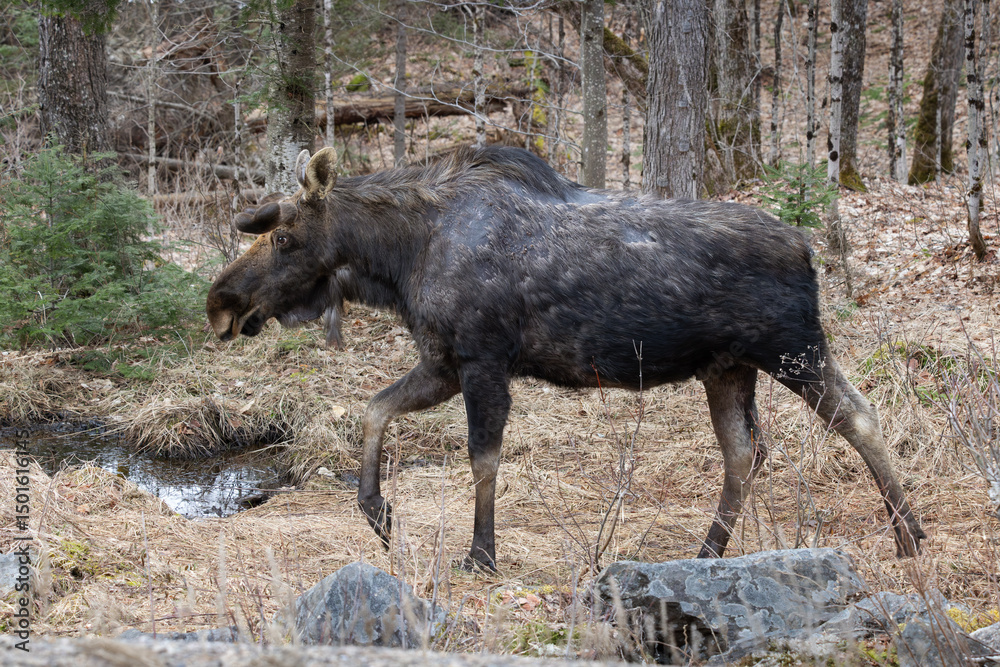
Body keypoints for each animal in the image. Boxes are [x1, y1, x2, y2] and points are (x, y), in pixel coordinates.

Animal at [206, 145, 925, 570]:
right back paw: (706, 550)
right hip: (727, 369)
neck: (398, 260)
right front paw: (378, 511)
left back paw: (909, 534)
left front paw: (481, 553)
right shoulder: (443, 361)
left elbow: (482, 460)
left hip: (792, 350)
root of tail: (809, 251)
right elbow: (373, 409)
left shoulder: (481, 359)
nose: (220, 302)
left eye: (286, 238)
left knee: (860, 418)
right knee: (745, 453)